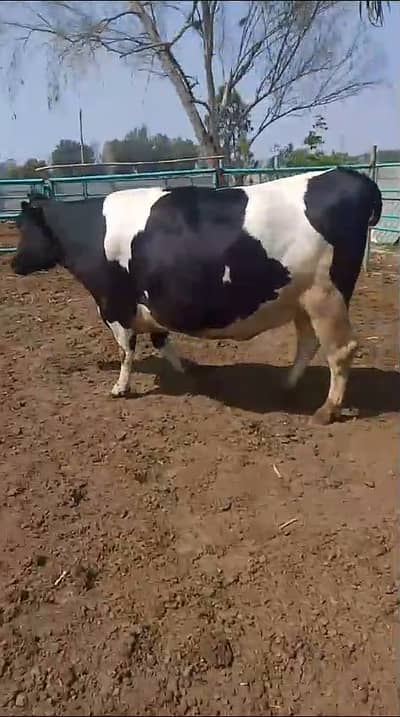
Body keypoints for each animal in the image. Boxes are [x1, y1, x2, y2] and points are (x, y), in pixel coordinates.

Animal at [11, 167, 382, 424]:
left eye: (23, 227)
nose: (13, 263)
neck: (89, 232)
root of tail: (347, 175)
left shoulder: (114, 305)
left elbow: (126, 350)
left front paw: (120, 388)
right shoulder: (150, 302)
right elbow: (161, 340)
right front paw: (189, 373)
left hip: (326, 295)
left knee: (341, 350)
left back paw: (326, 410)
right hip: (303, 298)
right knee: (308, 342)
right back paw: (287, 385)